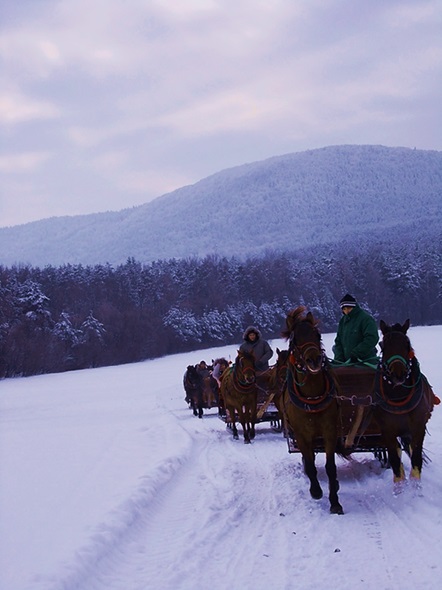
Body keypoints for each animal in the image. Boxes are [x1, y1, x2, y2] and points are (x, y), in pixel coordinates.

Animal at [282, 308, 344, 516]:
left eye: (317, 335)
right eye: (295, 340)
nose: (314, 360)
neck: (312, 397)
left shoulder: (330, 432)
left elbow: (330, 467)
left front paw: (335, 502)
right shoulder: (302, 435)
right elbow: (310, 465)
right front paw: (316, 490)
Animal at [374, 322, 436, 488]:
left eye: (407, 344)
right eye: (383, 345)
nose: (399, 374)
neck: (398, 397)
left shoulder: (418, 428)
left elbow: (416, 460)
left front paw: (415, 488)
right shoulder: (387, 431)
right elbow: (395, 462)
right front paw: (399, 489)